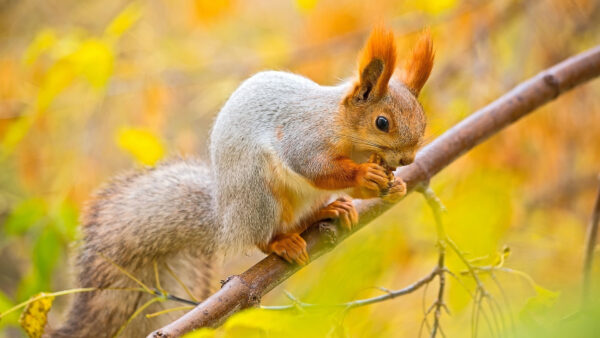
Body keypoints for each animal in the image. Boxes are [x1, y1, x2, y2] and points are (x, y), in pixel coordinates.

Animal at [50, 27, 432, 338]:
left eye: (422, 119)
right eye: (382, 122)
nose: (408, 160)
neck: (347, 133)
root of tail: (226, 220)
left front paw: (395, 187)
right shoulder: (304, 137)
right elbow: (314, 167)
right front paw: (364, 175)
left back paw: (329, 211)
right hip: (258, 193)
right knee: (260, 237)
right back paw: (282, 243)